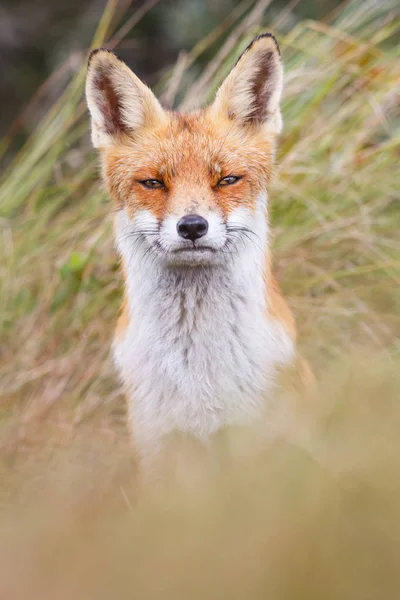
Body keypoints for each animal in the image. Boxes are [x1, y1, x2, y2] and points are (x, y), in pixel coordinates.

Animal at [86, 34, 314, 460]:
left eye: (226, 180)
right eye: (153, 183)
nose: (192, 226)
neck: (197, 372)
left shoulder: (255, 442)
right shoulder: (158, 444)